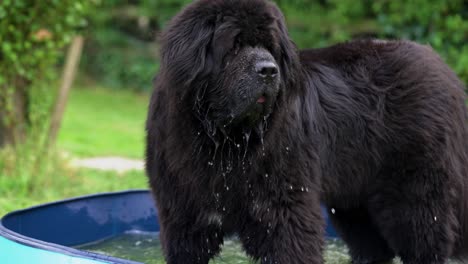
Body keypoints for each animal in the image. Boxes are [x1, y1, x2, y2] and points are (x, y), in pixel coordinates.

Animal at [144, 1, 466, 262]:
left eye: (271, 47)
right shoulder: (184, 215)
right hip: (354, 199)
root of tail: (446, 73)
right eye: (234, 46)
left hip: (414, 193)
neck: (224, 141)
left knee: (424, 239)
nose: (269, 70)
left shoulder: (283, 208)